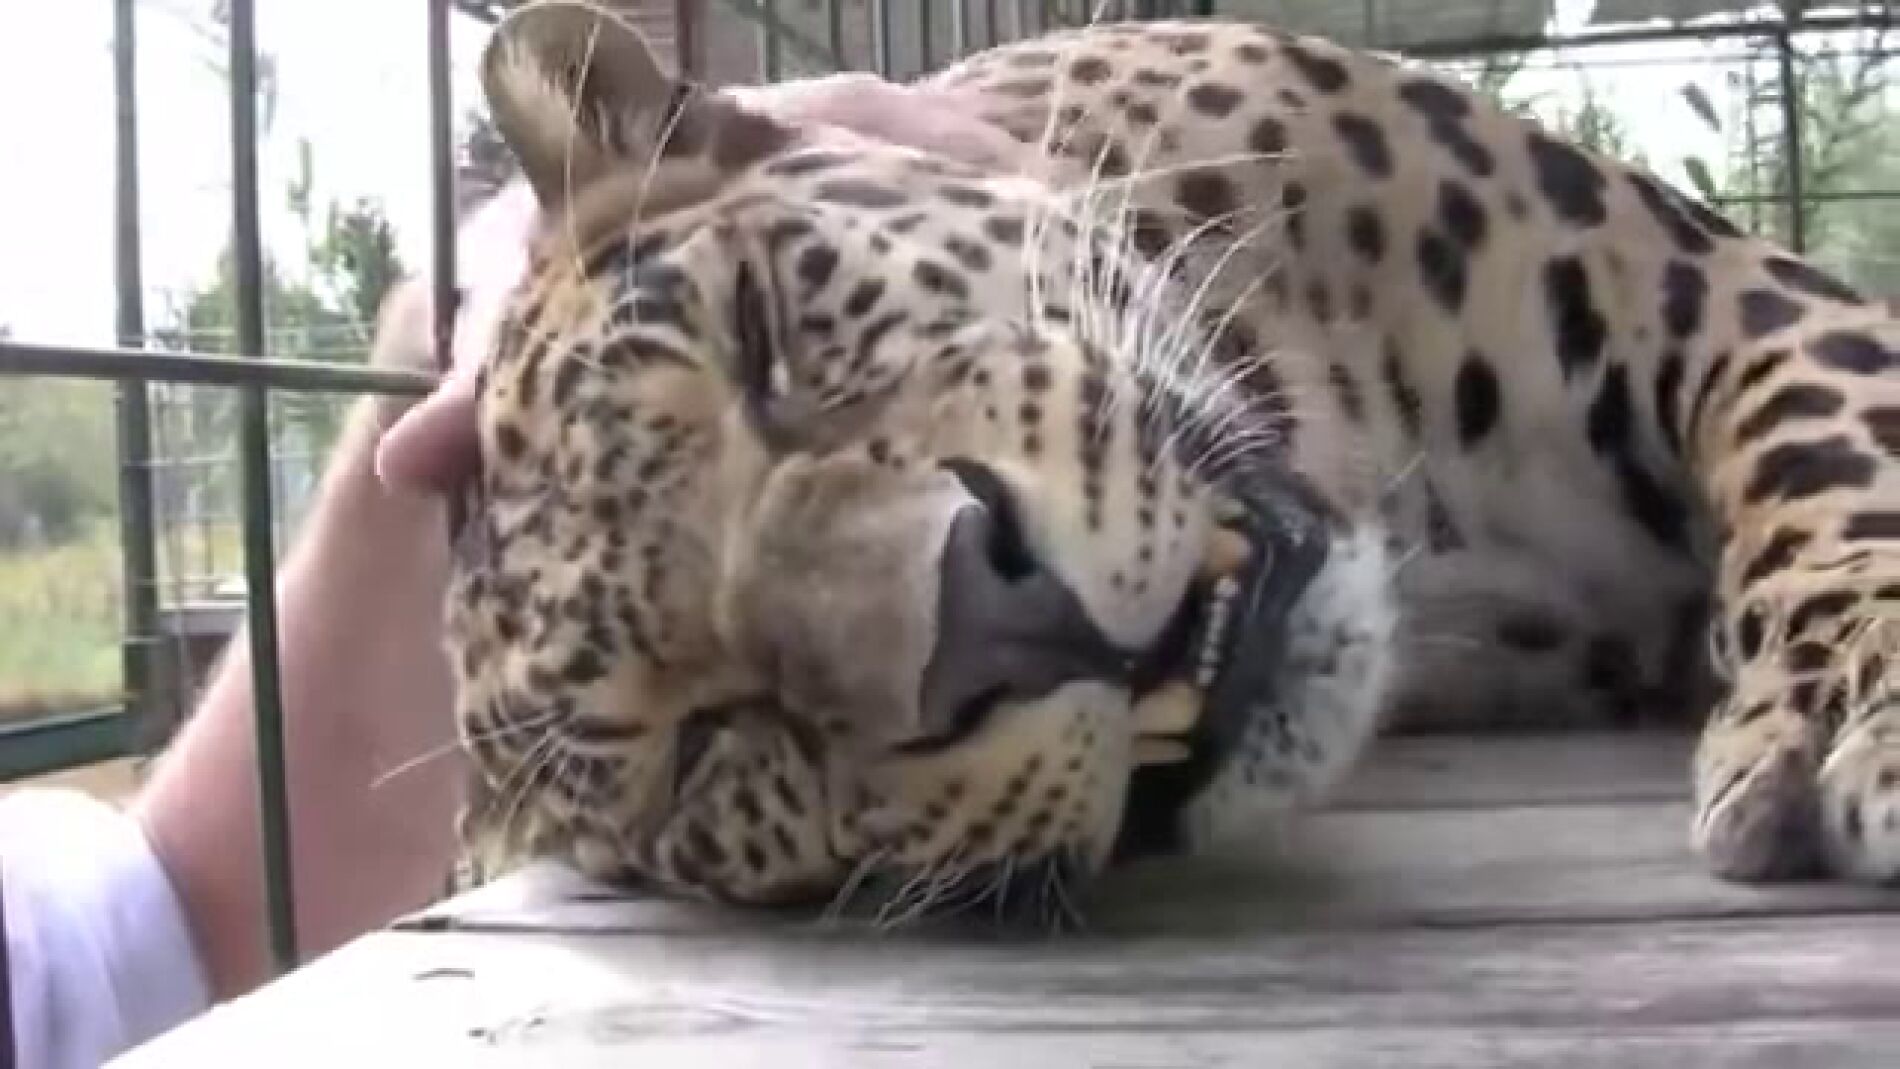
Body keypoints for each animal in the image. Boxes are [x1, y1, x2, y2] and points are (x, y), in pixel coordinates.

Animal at [434, 1, 1900, 923]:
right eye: (701, 750)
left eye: (761, 334)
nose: (990, 615)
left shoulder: (1701, 284)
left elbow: (1827, 464)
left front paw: (1848, 717)